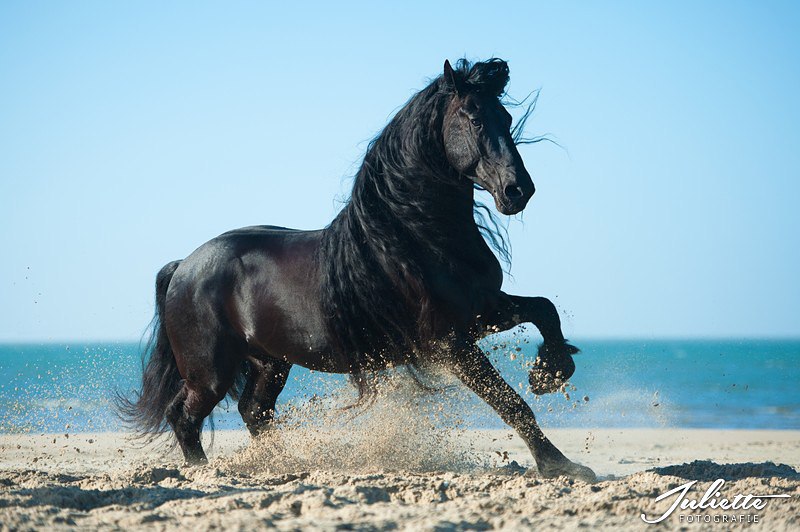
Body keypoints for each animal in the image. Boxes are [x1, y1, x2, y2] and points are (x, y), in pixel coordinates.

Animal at [117, 58, 592, 482]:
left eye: (507, 118)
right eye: (474, 119)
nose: (518, 191)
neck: (415, 235)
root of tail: (184, 265)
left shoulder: (484, 311)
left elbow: (544, 309)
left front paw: (550, 373)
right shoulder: (450, 341)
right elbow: (511, 403)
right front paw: (560, 465)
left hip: (270, 363)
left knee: (254, 412)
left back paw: (282, 465)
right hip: (211, 372)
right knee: (185, 415)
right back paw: (205, 472)